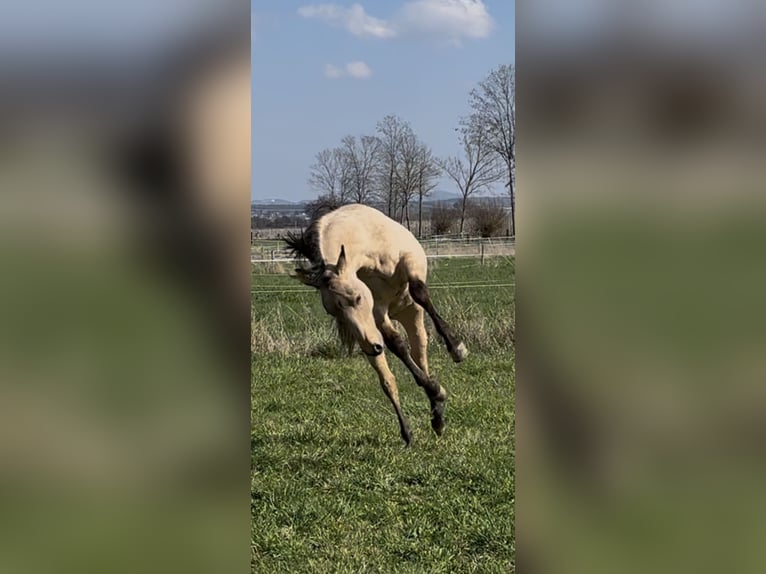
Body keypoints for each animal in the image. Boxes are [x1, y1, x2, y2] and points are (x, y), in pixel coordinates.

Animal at [284, 203, 468, 445]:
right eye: (333, 311)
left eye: (356, 298)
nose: (372, 347)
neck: (369, 244)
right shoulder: (378, 311)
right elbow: (397, 345)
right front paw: (435, 390)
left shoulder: (410, 261)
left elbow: (419, 290)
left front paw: (457, 348)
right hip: (380, 331)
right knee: (389, 381)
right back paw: (413, 428)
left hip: (411, 314)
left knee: (420, 353)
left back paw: (437, 414)